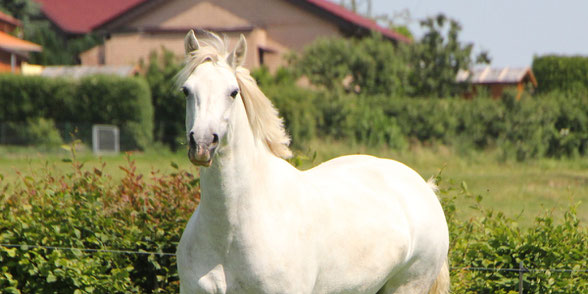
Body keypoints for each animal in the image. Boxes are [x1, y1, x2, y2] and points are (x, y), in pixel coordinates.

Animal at [175, 30, 450, 294]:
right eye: (186, 91)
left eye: (233, 92)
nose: (202, 144)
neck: (228, 234)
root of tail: (424, 187)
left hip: (408, 285)